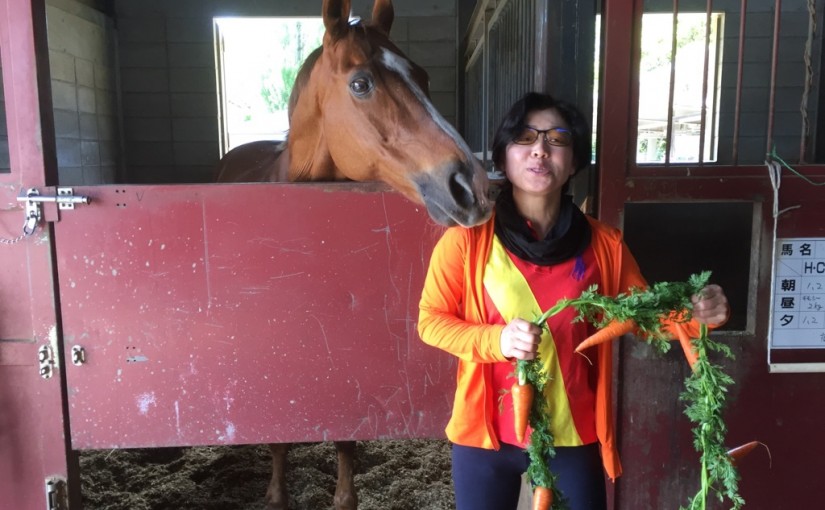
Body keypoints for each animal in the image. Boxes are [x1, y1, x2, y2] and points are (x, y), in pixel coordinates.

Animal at [215, 1, 492, 509]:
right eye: (361, 83)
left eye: (423, 77)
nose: (474, 188)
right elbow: (277, 438)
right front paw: (276, 494)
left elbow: (346, 437)